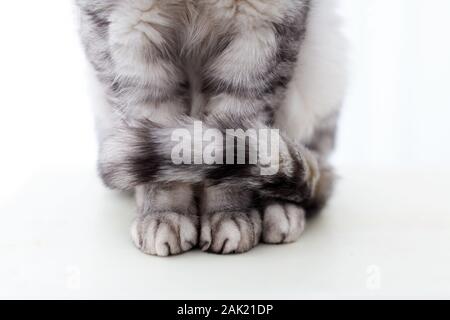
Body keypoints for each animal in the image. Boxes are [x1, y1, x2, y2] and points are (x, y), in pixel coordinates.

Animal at [75, 0, 346, 255]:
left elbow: (233, 149)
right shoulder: (130, 26)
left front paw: (228, 213)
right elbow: (167, 156)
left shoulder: (260, 27)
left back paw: (278, 209)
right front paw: (164, 215)